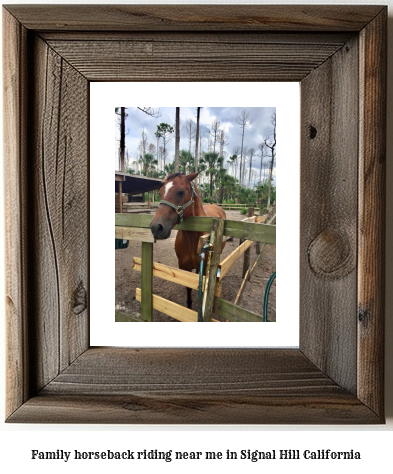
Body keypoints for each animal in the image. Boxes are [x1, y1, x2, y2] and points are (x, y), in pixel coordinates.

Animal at [149, 172, 225, 310]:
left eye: (181, 192)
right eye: (160, 192)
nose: (156, 227)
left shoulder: (204, 269)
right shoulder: (184, 266)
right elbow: (188, 287)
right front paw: (189, 307)